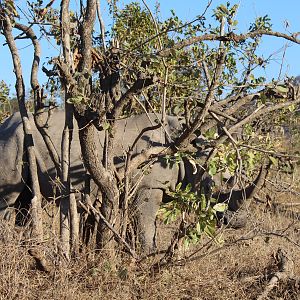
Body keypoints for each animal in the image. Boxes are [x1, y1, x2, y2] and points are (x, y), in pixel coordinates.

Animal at [0, 110, 262, 251]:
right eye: (216, 185)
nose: (239, 222)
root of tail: (5, 121)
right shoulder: (148, 186)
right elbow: (146, 226)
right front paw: (147, 257)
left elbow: (139, 228)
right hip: (12, 137)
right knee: (8, 199)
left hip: (21, 138)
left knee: (25, 200)